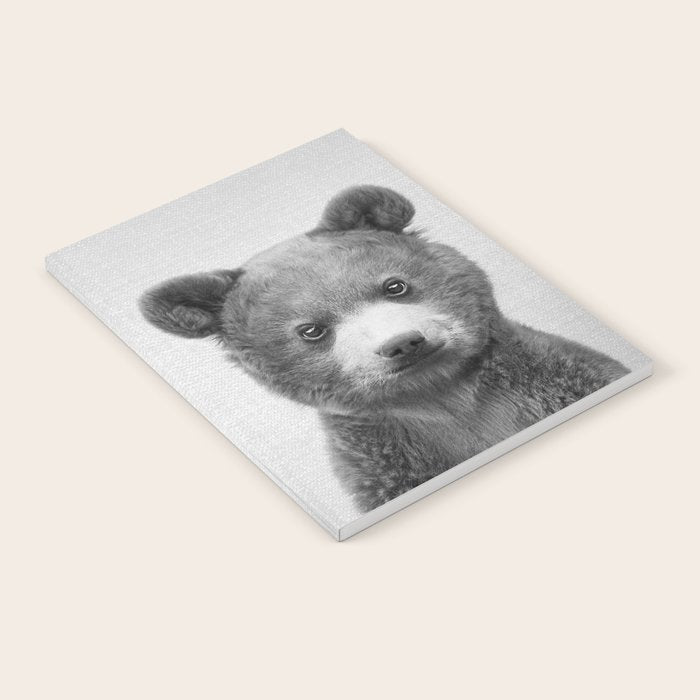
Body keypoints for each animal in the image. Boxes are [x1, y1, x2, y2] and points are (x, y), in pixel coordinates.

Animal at [140, 185, 629, 512]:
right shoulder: (386, 462)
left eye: (394, 285)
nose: (403, 343)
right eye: (311, 330)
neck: (447, 399)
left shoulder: (553, 379)